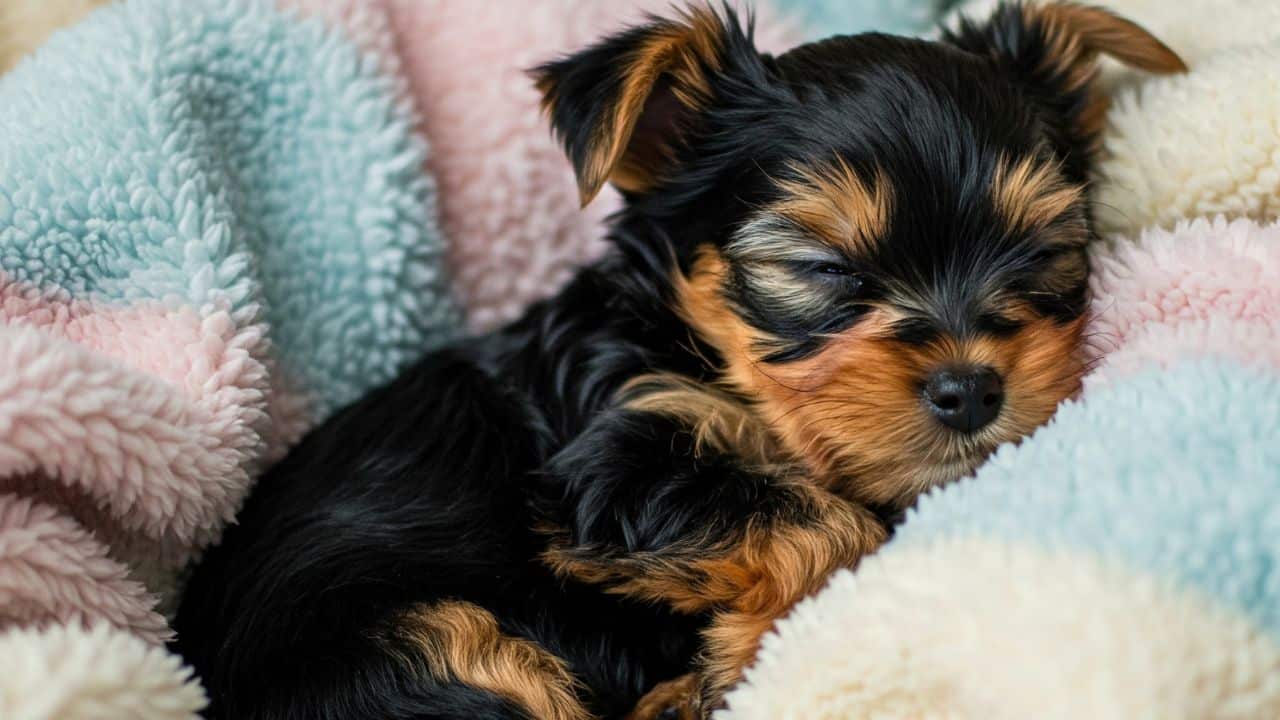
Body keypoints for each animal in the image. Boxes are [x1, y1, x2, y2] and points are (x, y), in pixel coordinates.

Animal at [175, 2, 1182, 712]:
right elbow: (823, 520)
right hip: (416, 650)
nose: (972, 388)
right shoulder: (616, 456)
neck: (700, 351)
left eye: (1042, 255)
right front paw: (739, 656)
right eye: (823, 269)